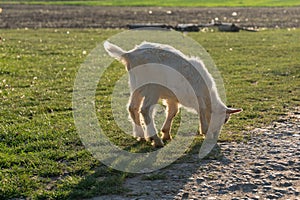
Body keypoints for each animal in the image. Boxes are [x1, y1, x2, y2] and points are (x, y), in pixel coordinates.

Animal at [103, 41, 241, 147]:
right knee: (145, 110)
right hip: (152, 88)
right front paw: (205, 131)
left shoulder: (173, 98)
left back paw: (141, 135)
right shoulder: (195, 96)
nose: (214, 137)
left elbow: (172, 112)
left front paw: (166, 133)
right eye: (225, 120)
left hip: (136, 86)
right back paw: (156, 140)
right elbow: (201, 109)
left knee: (133, 108)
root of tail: (129, 55)